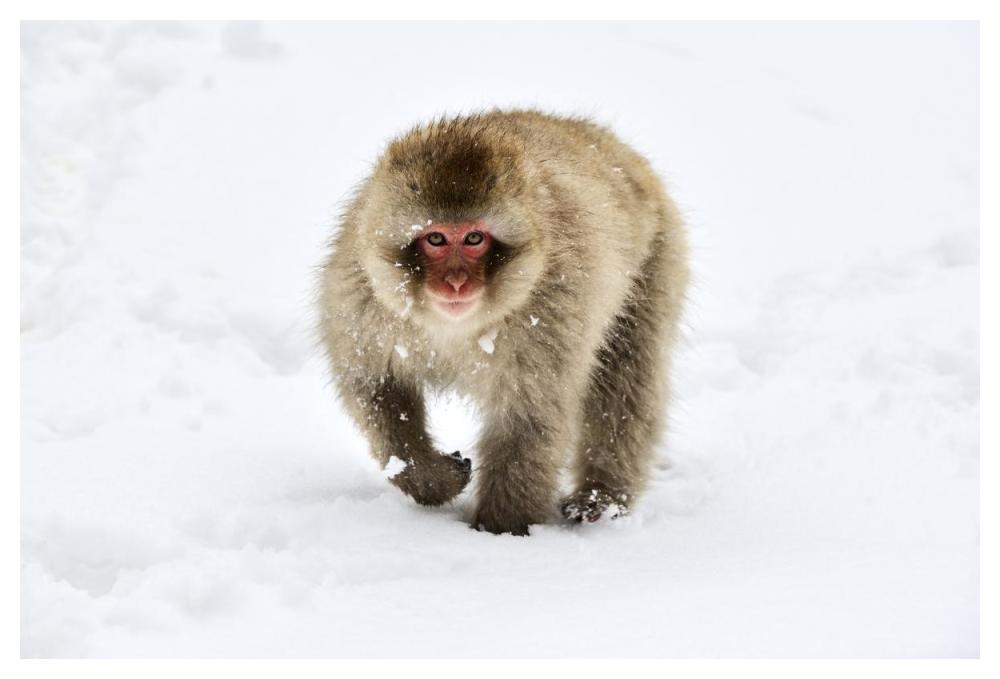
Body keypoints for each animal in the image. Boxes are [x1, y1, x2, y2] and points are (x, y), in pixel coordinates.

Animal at [317, 110, 689, 535]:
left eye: (474, 238)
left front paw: (500, 530)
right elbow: (376, 389)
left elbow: (529, 419)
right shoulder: (359, 300)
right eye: (436, 239)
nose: (456, 282)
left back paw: (602, 496)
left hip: (655, 261)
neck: (454, 327)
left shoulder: (555, 311)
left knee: (626, 380)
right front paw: (430, 478)